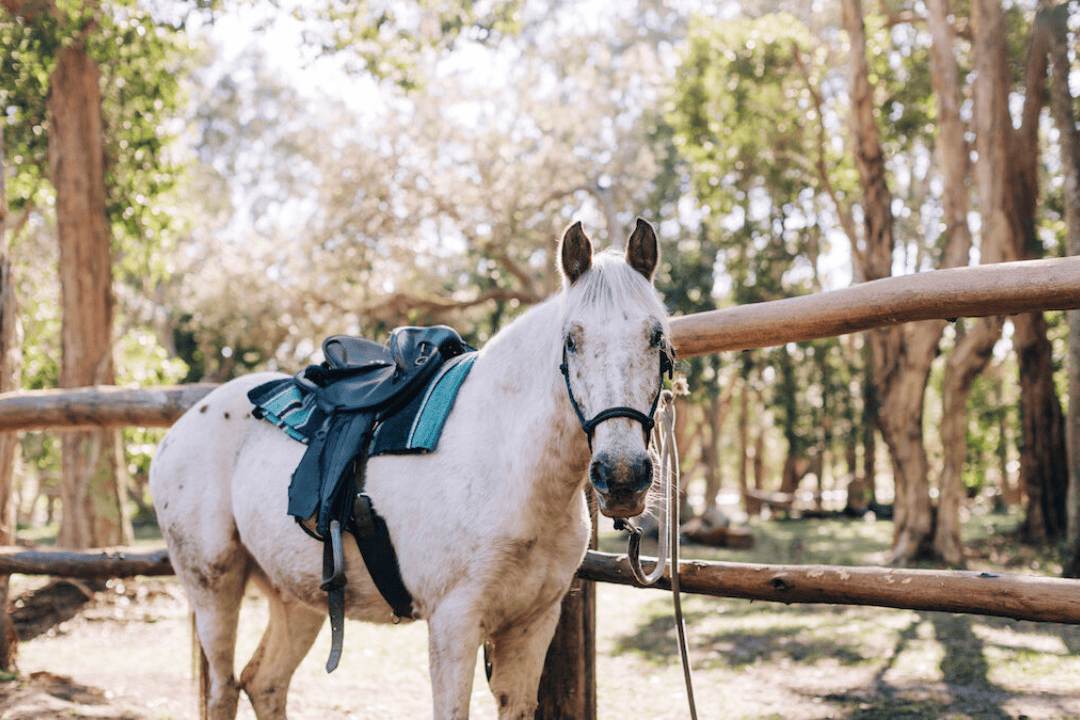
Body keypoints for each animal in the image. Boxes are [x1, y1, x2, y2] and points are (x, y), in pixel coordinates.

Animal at [150, 220, 673, 720]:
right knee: (223, 690)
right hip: (213, 589)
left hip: (296, 597)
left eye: (657, 337)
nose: (622, 477)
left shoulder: (532, 626)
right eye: (571, 340)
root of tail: (179, 428)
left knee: (263, 683)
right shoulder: (453, 625)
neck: (509, 466)